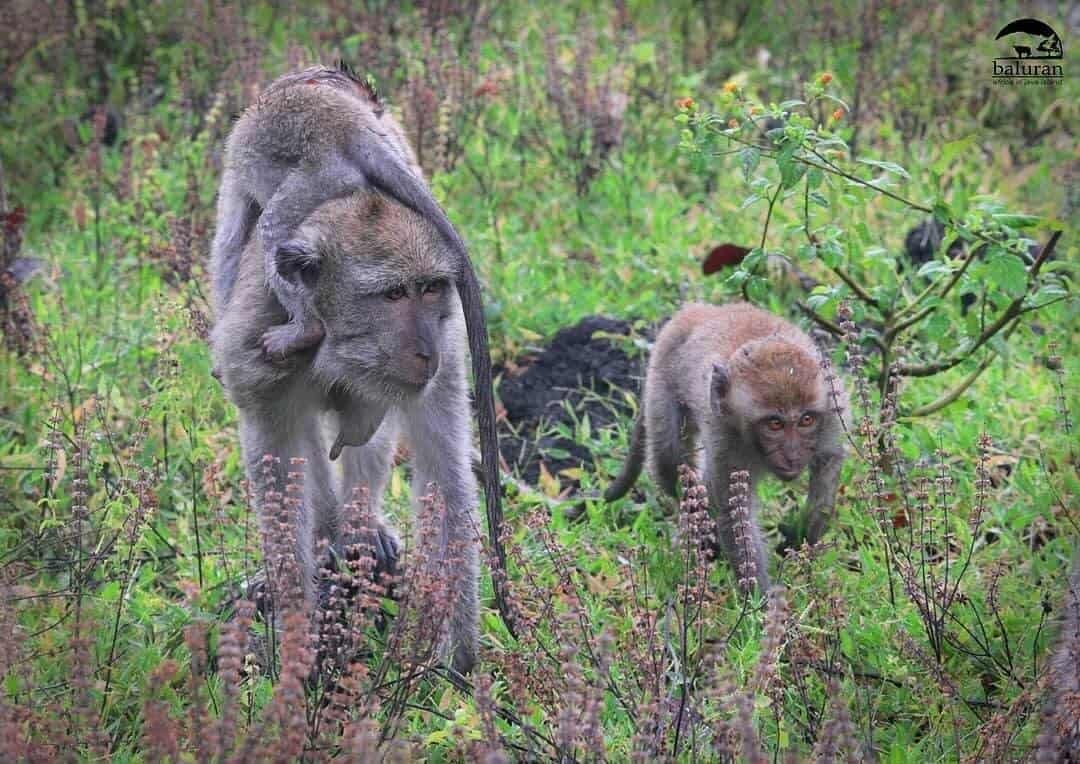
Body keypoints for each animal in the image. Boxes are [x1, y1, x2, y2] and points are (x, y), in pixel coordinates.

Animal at [211, 190, 481, 669]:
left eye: (430, 288)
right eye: (394, 293)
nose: (425, 351)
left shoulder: (447, 350)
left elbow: (444, 474)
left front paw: (458, 661)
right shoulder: (255, 350)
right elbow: (278, 464)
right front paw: (298, 637)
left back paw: (359, 525)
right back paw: (329, 534)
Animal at [604, 302, 846, 592]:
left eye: (806, 420)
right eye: (774, 424)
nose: (793, 455)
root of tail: (701, 309)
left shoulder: (832, 416)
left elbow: (828, 469)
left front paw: (803, 536)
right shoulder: (725, 440)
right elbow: (734, 513)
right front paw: (760, 597)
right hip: (661, 380)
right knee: (668, 460)